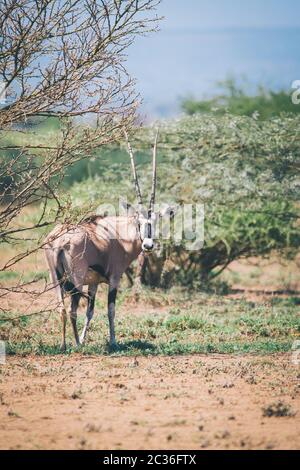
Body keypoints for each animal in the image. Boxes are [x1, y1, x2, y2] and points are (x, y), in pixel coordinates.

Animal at [44, 130, 168, 350]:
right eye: (139, 222)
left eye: (155, 221)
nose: (148, 245)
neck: (119, 233)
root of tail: (60, 241)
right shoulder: (114, 279)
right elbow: (111, 310)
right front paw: (112, 341)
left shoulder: (93, 283)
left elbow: (90, 311)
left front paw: (86, 337)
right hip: (76, 280)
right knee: (72, 310)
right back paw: (77, 345)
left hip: (56, 279)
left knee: (62, 308)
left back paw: (64, 345)